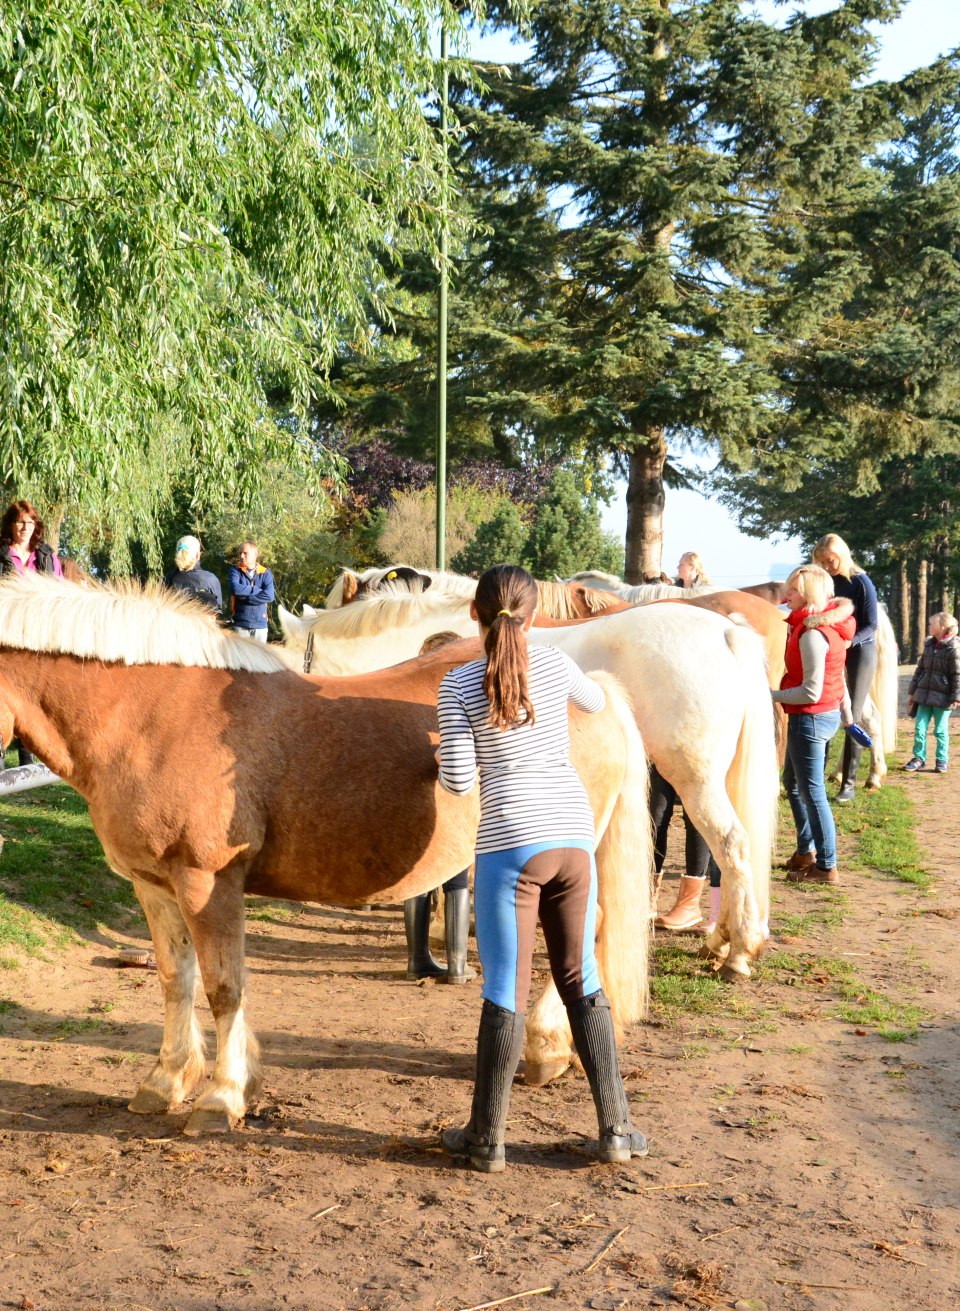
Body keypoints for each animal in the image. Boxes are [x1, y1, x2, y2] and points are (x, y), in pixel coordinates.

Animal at [0, 579, 653, 1132]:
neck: (152, 716)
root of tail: (592, 687)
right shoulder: (154, 885)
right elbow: (174, 978)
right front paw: (168, 1081)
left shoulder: (208, 883)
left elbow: (224, 986)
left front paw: (222, 1096)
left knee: (582, 933)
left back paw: (545, 1048)